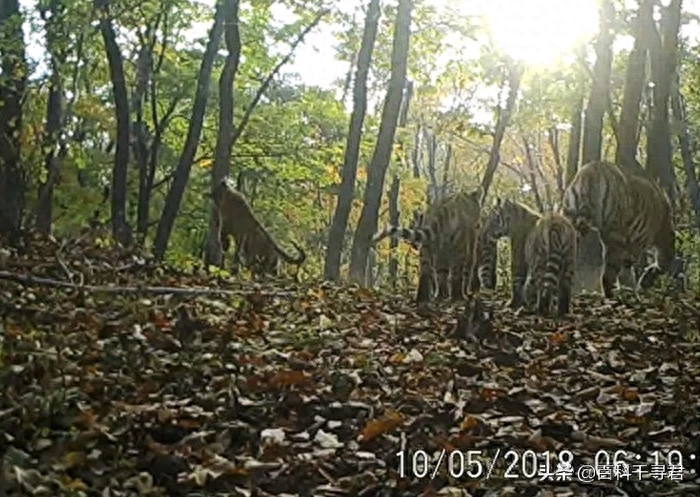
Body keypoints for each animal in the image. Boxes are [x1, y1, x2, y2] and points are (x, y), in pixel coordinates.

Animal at [560, 161, 676, 296]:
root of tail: (589, 173)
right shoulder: (642, 240)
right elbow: (662, 263)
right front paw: (641, 283)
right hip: (615, 235)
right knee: (610, 272)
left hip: (575, 223)